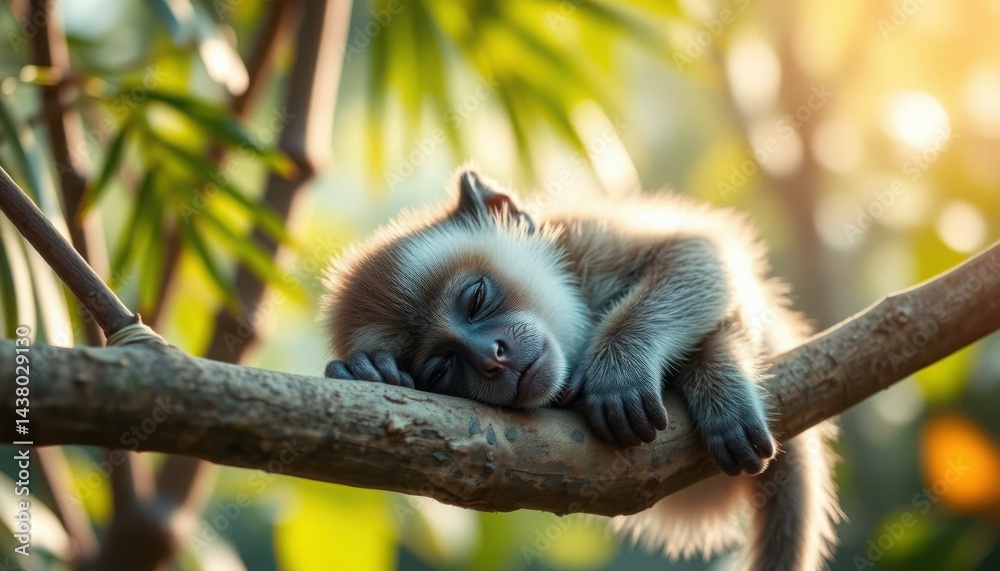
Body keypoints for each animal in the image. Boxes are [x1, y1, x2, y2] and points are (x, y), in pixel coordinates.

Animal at [321, 166, 839, 570]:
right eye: (441, 369)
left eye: (476, 298)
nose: (491, 358)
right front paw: (374, 371)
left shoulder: (585, 239)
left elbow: (697, 255)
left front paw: (620, 374)